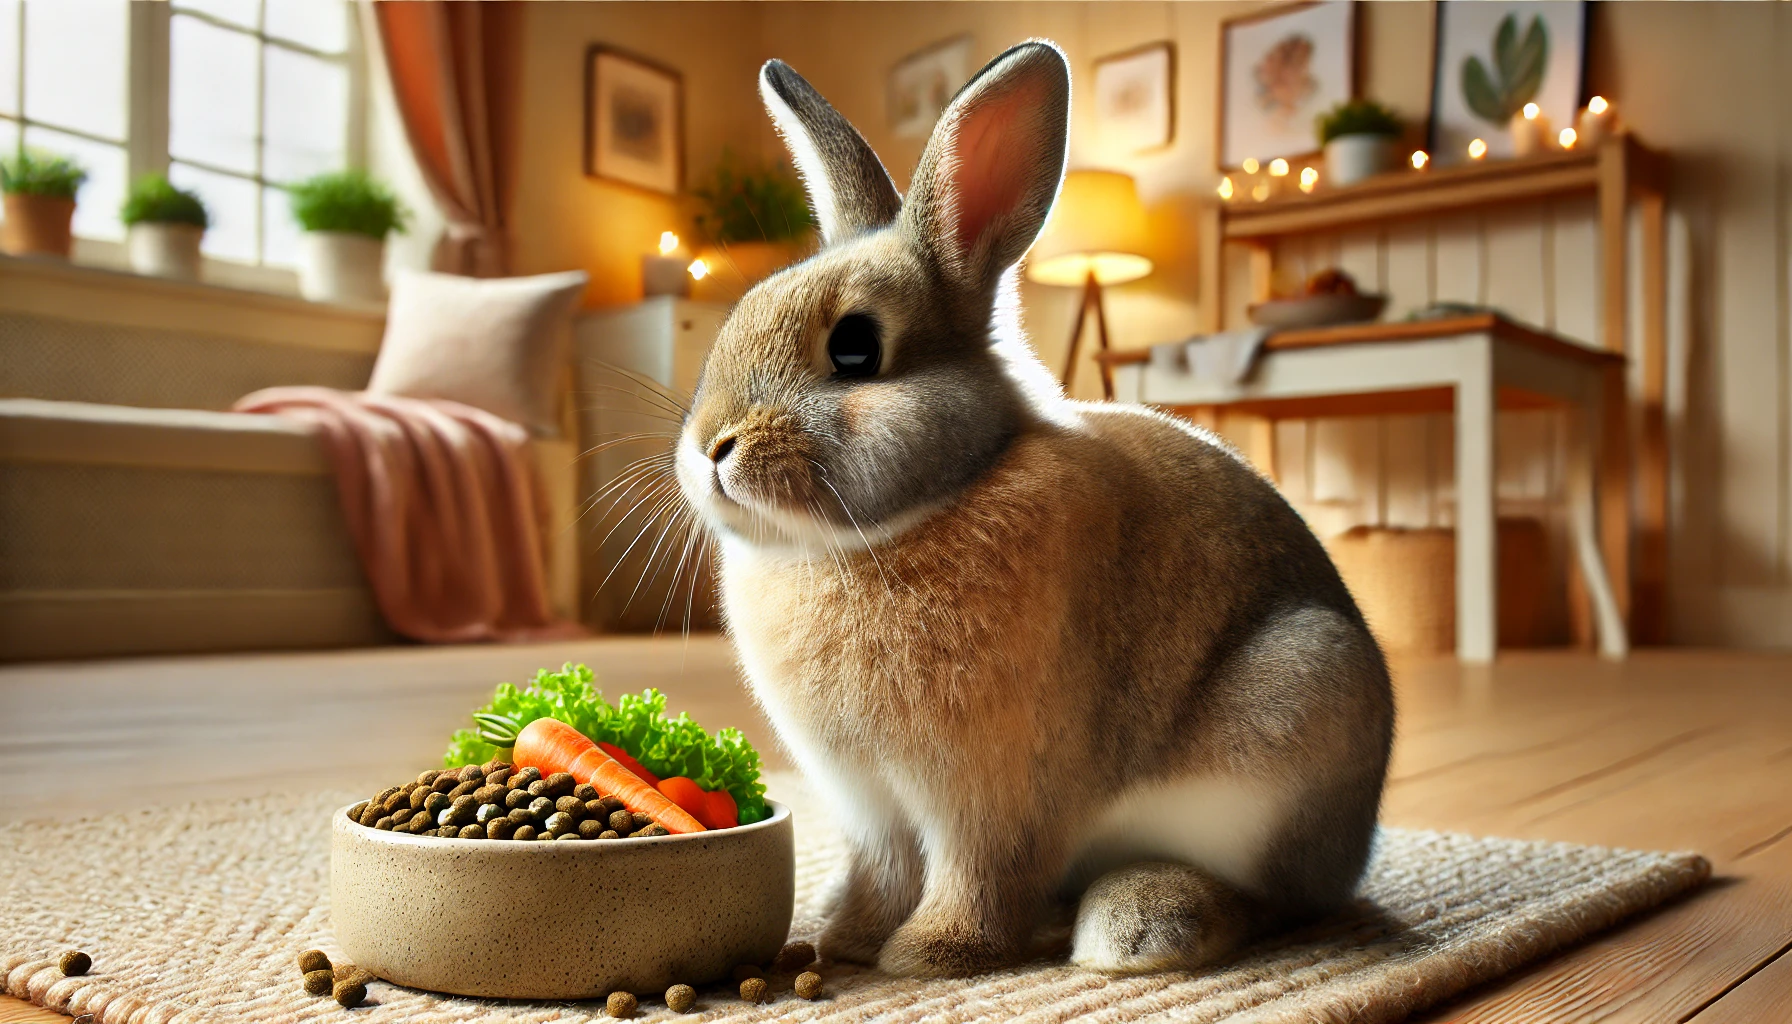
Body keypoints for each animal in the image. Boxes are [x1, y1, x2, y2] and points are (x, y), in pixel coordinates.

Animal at [672, 40, 1393, 979]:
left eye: (856, 348)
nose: (709, 447)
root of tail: (1355, 841)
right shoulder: (872, 805)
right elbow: (883, 869)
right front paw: (847, 940)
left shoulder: (987, 797)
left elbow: (976, 874)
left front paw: (930, 955)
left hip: (1291, 723)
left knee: (1275, 902)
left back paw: (1139, 925)